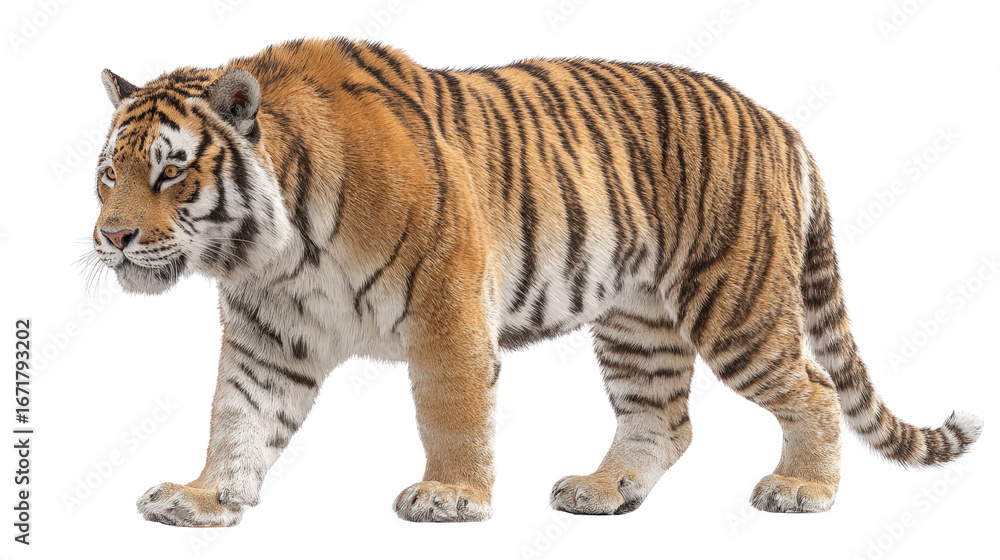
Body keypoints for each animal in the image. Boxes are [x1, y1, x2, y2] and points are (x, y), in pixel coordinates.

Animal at [90, 37, 982, 526]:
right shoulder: (271, 337)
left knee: (814, 389)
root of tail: (781, 121)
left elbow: (451, 411)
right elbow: (238, 419)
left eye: (169, 173)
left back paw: (802, 490)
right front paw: (204, 498)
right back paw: (604, 490)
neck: (273, 249)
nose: (111, 237)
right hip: (638, 323)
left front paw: (449, 497)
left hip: (736, 305)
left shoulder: (445, 308)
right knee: (663, 421)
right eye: (108, 175)